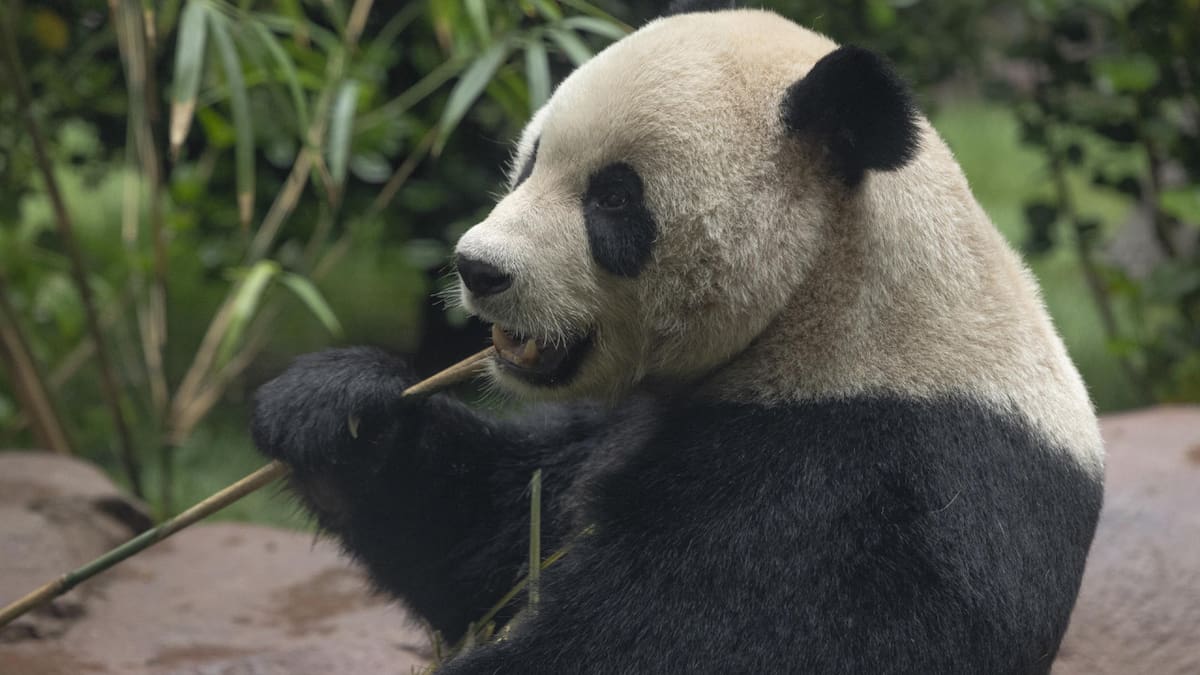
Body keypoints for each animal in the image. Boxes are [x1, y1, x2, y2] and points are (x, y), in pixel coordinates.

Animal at [251, 2, 1105, 673]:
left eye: (614, 198)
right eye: (529, 161)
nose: (479, 267)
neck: (830, 306)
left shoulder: (857, 486)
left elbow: (660, 637)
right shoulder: (620, 425)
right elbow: (487, 532)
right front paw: (334, 406)